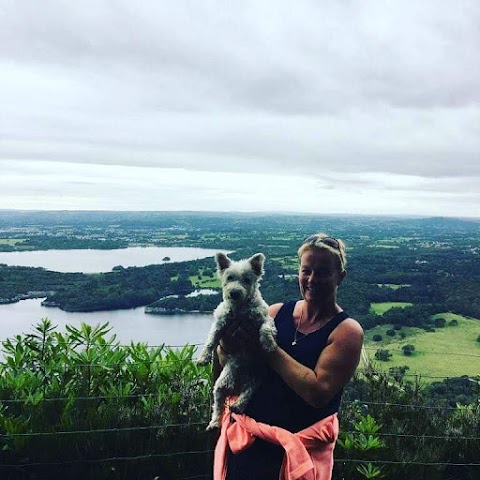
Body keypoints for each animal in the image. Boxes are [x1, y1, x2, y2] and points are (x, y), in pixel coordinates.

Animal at [196, 251, 278, 432]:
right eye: (229, 277)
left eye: (247, 279)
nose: (234, 293)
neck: (240, 309)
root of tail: (235, 386)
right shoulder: (221, 323)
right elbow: (211, 339)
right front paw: (203, 357)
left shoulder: (265, 318)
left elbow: (265, 329)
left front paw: (269, 344)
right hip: (221, 383)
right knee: (218, 404)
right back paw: (215, 422)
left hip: (256, 376)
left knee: (248, 392)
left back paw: (238, 405)